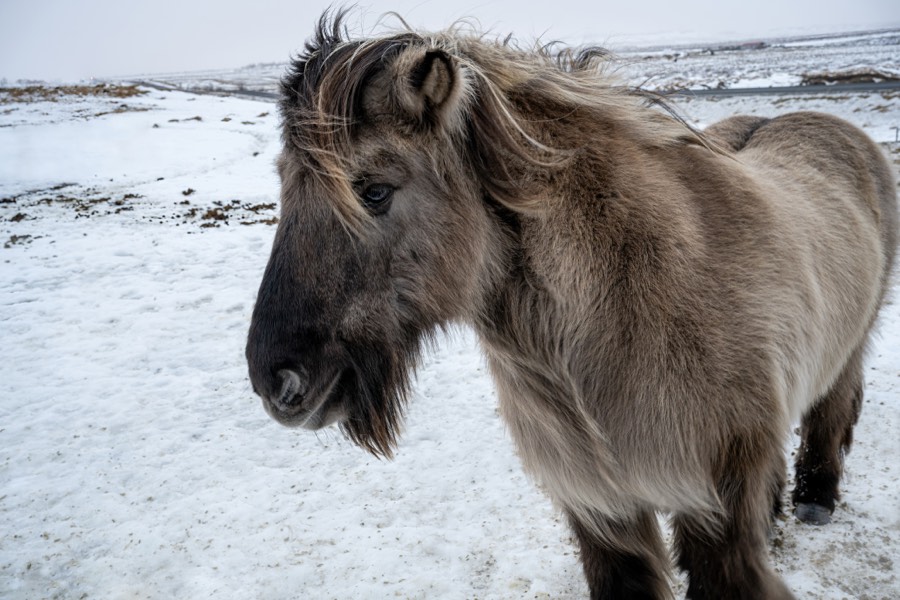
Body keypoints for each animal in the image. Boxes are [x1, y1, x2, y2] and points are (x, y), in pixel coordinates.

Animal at [246, 12, 898, 599]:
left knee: (833, 407)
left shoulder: (715, 516)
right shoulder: (602, 514)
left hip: (849, 350)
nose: (275, 381)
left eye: (374, 191)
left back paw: (815, 499)